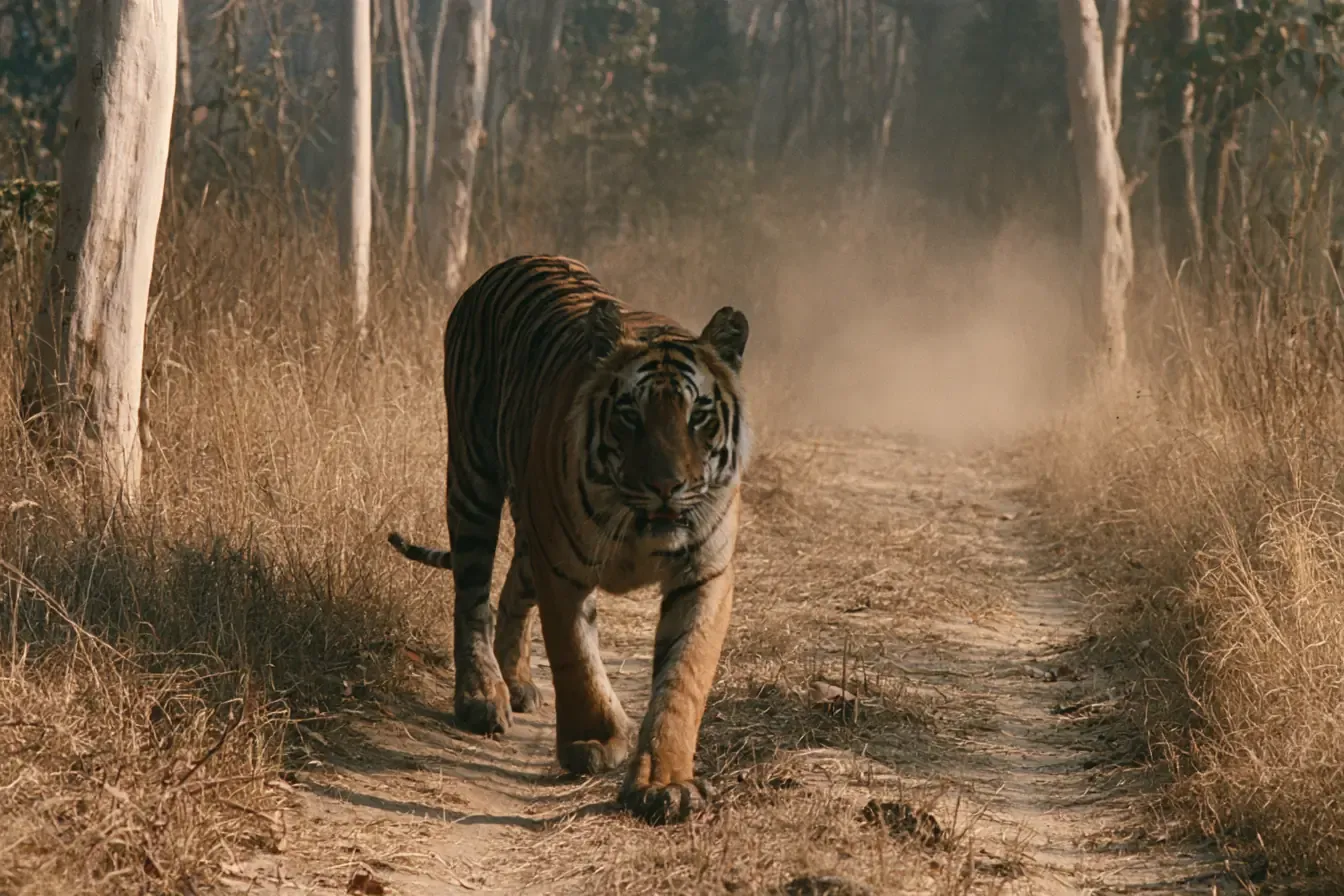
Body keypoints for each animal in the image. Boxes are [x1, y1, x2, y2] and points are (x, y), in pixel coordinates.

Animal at [387, 254, 751, 825]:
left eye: (699, 416)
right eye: (630, 416)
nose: (666, 486)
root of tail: (513, 262)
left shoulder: (704, 574)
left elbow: (683, 679)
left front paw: (665, 784)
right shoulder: (562, 568)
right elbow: (576, 658)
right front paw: (594, 742)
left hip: (527, 530)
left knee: (511, 593)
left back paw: (516, 683)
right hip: (473, 477)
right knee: (471, 597)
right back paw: (482, 697)